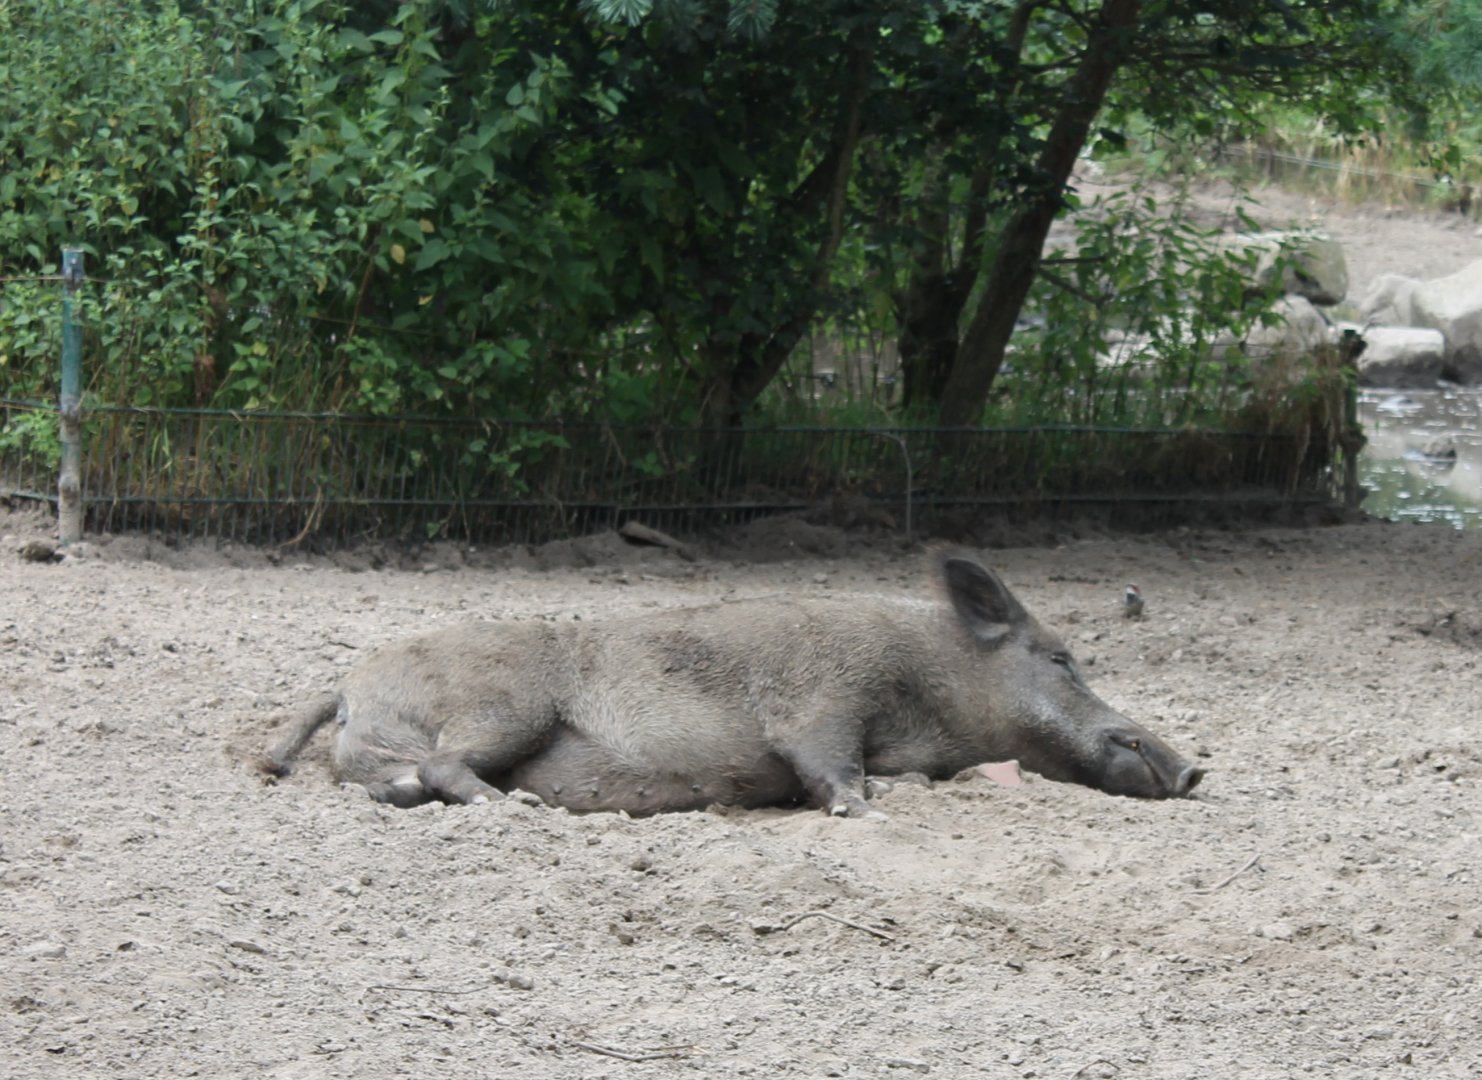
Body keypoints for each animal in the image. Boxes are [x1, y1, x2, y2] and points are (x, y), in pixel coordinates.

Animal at [261, 554, 1203, 815]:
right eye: (1061, 658)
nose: (1195, 766)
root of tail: (348, 685)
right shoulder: (825, 699)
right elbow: (830, 762)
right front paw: (860, 811)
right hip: (507, 702)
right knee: (450, 765)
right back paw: (509, 806)